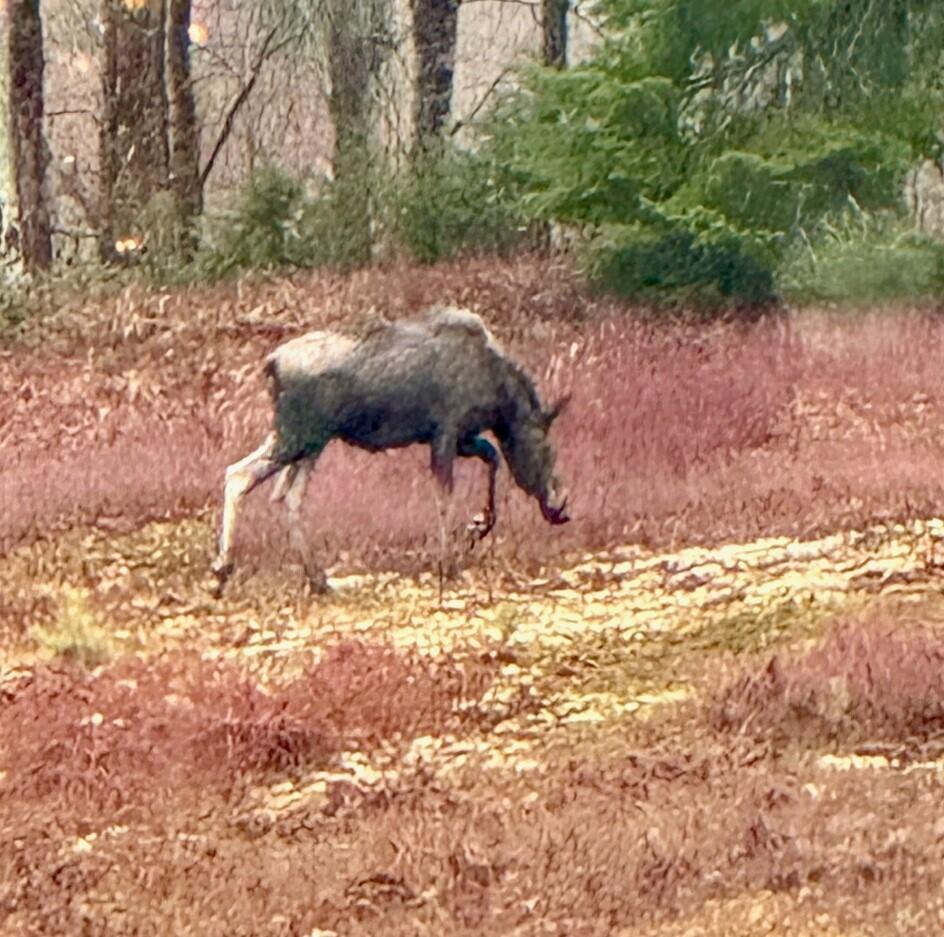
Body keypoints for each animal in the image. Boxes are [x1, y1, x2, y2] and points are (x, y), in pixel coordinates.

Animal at [212, 304, 568, 596]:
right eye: (547, 450)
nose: (561, 508)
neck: (500, 398)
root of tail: (270, 364)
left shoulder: (464, 437)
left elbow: (493, 459)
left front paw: (479, 524)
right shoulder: (446, 431)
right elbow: (445, 498)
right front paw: (449, 563)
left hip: (308, 441)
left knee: (286, 495)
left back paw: (318, 579)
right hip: (297, 436)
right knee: (241, 475)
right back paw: (222, 570)